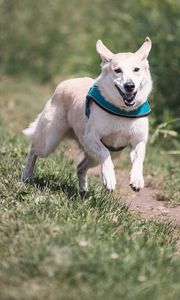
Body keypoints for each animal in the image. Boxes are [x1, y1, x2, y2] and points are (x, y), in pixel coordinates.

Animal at [21, 37, 153, 192]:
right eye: (117, 70)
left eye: (136, 69)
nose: (129, 85)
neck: (122, 111)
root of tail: (66, 82)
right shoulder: (90, 137)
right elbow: (104, 153)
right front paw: (109, 179)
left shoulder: (138, 141)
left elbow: (139, 159)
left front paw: (137, 179)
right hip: (49, 141)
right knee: (34, 149)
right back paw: (26, 176)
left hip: (102, 154)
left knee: (80, 167)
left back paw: (83, 190)